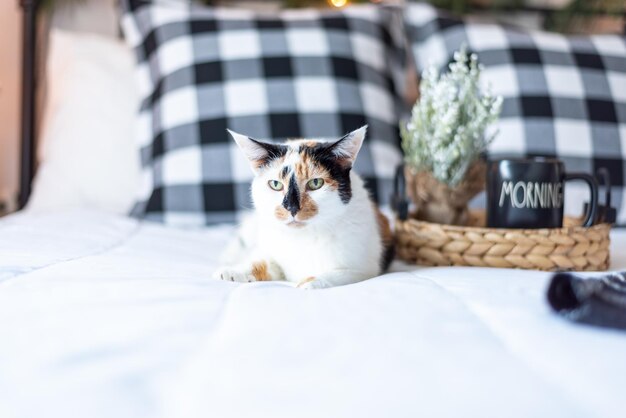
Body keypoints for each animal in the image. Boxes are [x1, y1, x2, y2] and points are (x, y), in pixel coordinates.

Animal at [212, 127, 392, 290]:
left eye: (316, 183)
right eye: (275, 184)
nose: (291, 207)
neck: (304, 236)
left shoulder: (364, 268)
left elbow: (342, 273)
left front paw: (310, 282)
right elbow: (262, 260)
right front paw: (233, 271)